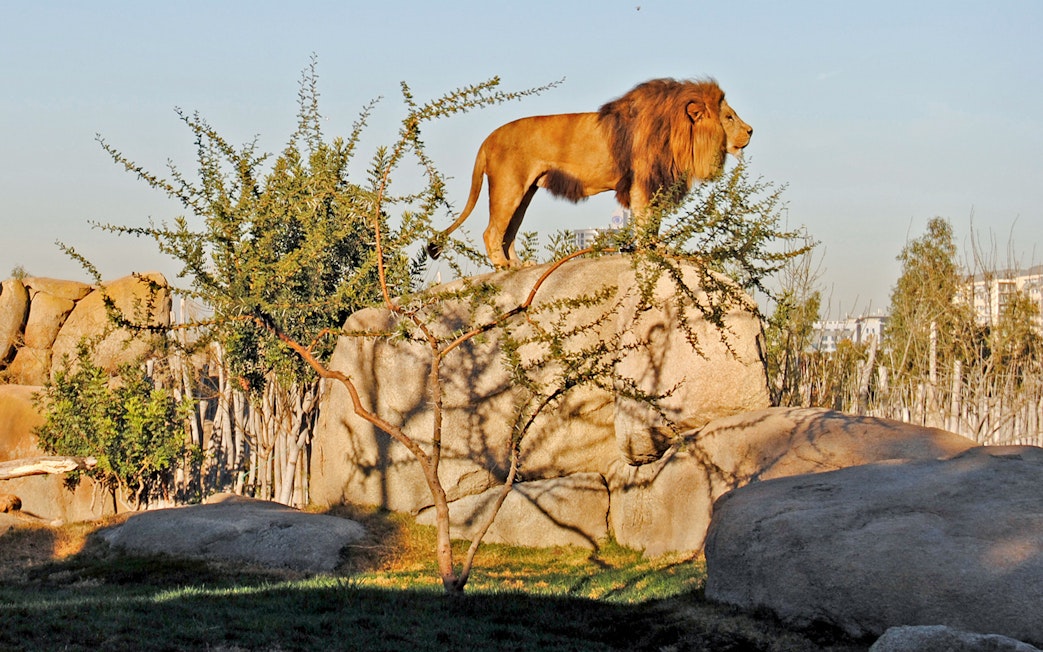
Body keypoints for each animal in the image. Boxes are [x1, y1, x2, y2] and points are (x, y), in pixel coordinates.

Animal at [427, 78, 752, 268]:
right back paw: (502, 266)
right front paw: (649, 252)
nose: (751, 130)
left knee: (509, 233)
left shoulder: (655, 183)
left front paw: (658, 248)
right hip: (508, 187)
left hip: (524, 192)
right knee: (492, 232)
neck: (679, 132)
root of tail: (488, 138)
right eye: (729, 117)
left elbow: (654, 223)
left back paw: (519, 266)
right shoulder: (642, 183)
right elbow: (645, 221)